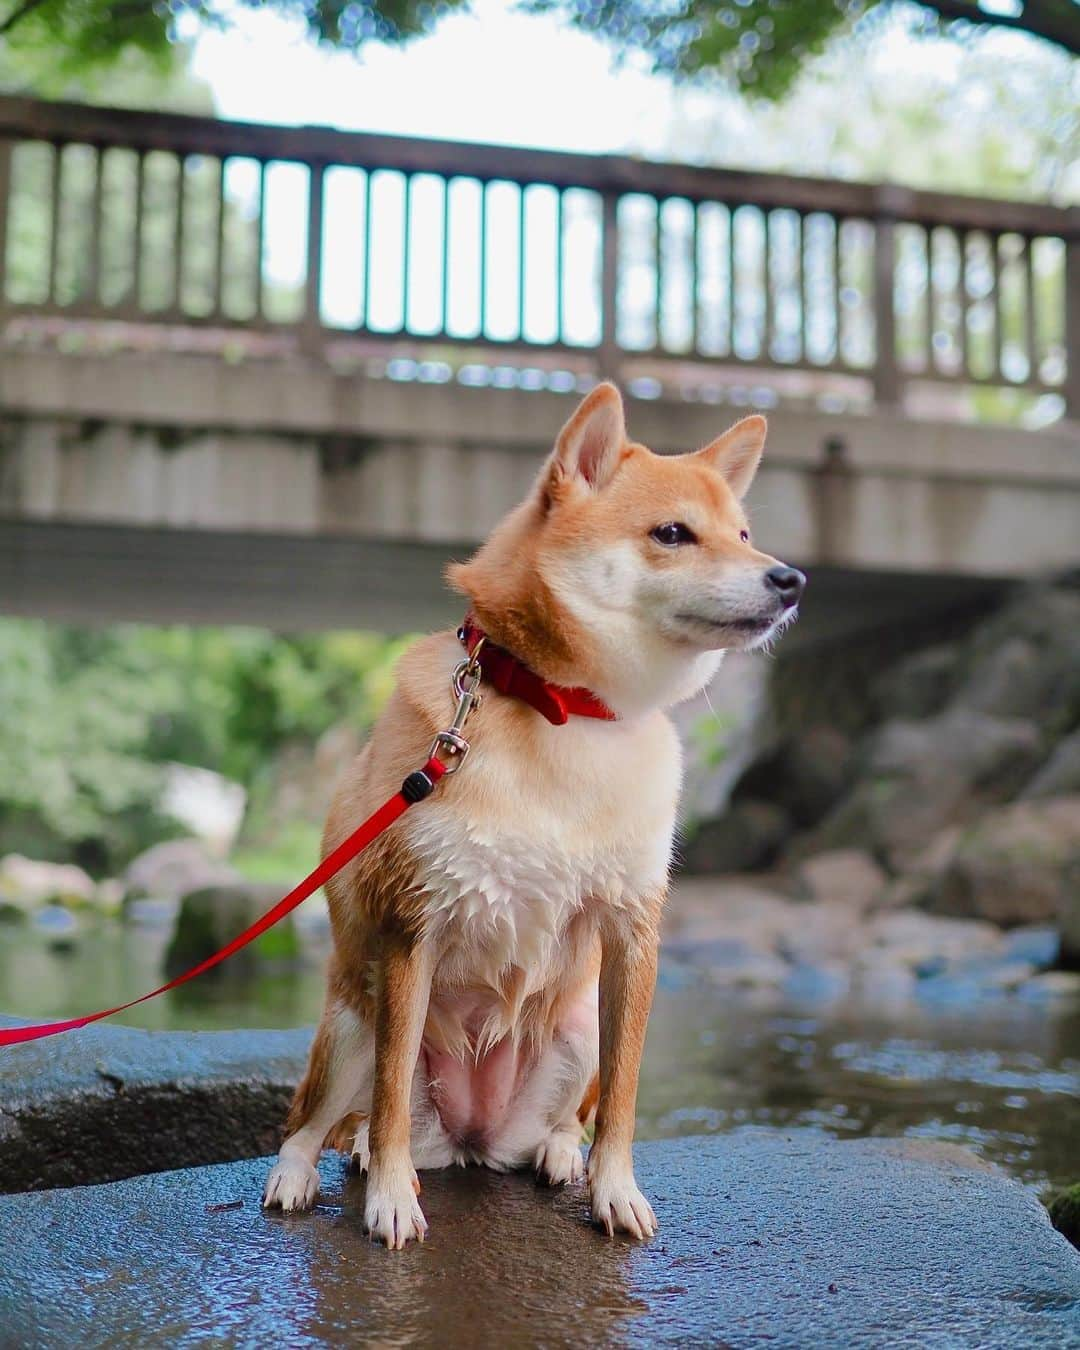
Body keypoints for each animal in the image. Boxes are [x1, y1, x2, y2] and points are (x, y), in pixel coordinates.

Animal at [261, 380, 799, 1242]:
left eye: (744, 535)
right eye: (673, 533)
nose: (791, 579)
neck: (566, 713)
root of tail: (471, 1141)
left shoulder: (632, 933)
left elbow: (623, 1095)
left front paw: (615, 1188)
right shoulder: (413, 928)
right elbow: (386, 1099)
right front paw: (390, 1201)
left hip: (573, 1035)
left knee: (560, 1118)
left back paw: (553, 1152)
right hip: (356, 1025)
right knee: (323, 1119)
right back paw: (314, 1171)